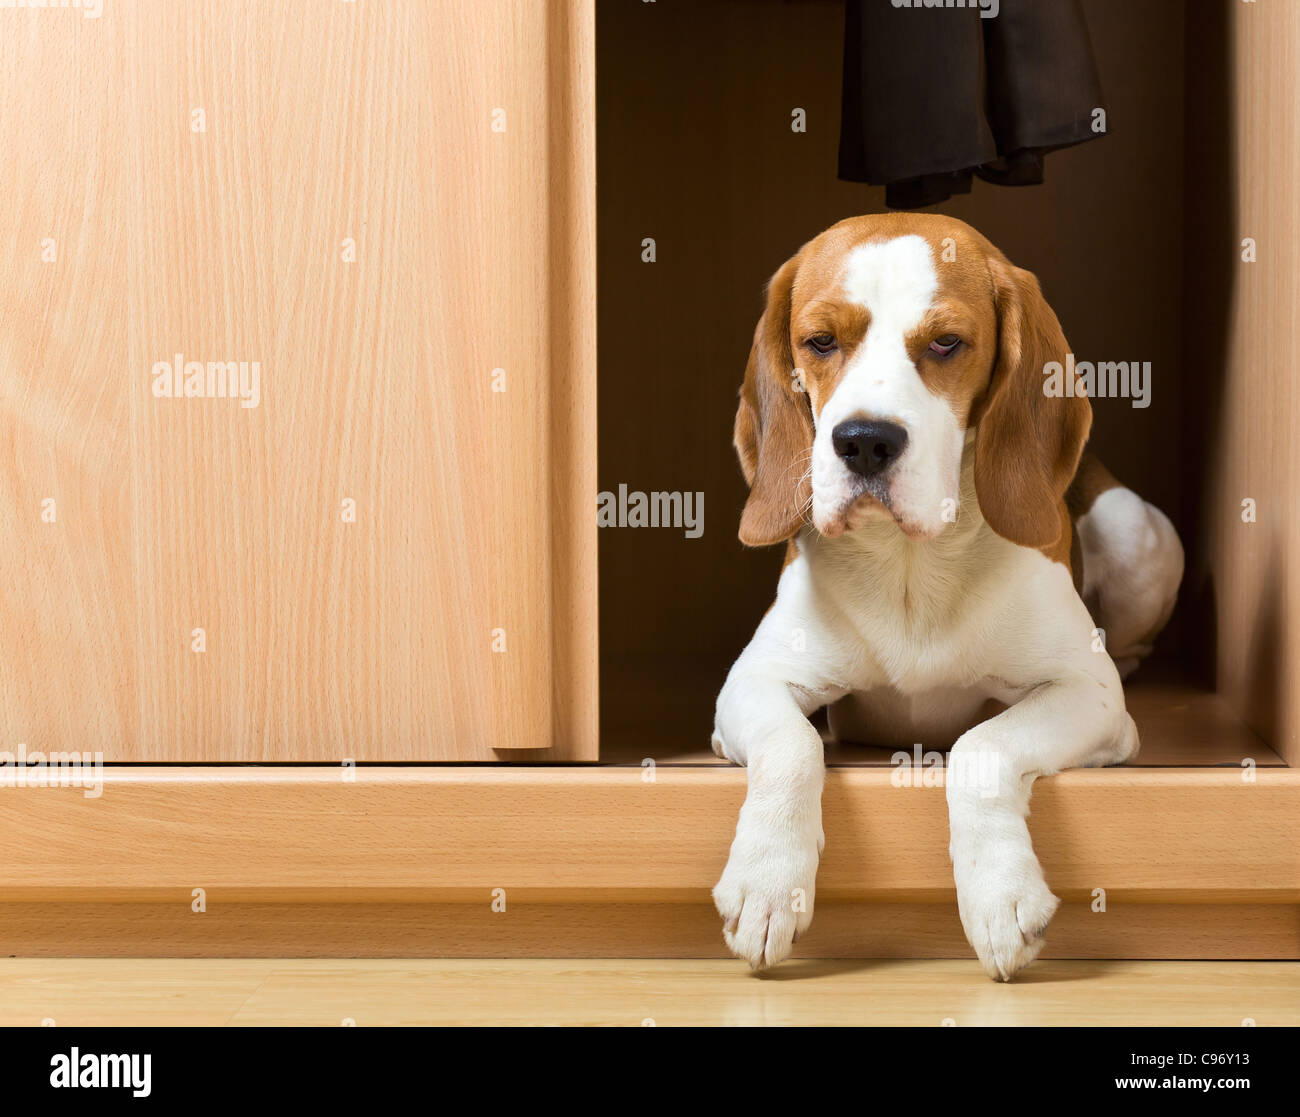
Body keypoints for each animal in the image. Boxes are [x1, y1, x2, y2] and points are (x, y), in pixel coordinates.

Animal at [717, 214, 1185, 983]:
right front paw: (766, 879)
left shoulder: (1091, 696)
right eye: (820, 341)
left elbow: (981, 745)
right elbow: (791, 746)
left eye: (945, 343)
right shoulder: (748, 684)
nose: (864, 441)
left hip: (1139, 533)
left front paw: (1000, 891)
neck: (912, 564)